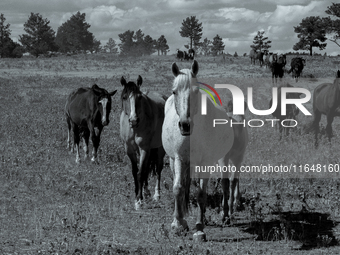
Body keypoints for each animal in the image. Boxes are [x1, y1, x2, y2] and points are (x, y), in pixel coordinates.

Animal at [119, 75, 167, 209]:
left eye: (139, 97)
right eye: (124, 97)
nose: (134, 120)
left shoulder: (144, 148)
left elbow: (141, 173)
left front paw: (139, 201)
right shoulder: (129, 149)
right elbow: (136, 172)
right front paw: (137, 194)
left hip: (159, 148)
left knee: (158, 169)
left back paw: (156, 194)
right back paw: (146, 191)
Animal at [162, 60, 242, 241]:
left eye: (196, 91)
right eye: (174, 91)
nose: (185, 125)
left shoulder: (205, 163)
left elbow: (200, 194)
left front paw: (199, 229)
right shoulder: (179, 159)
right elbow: (178, 188)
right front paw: (178, 224)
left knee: (225, 184)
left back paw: (222, 216)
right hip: (175, 161)